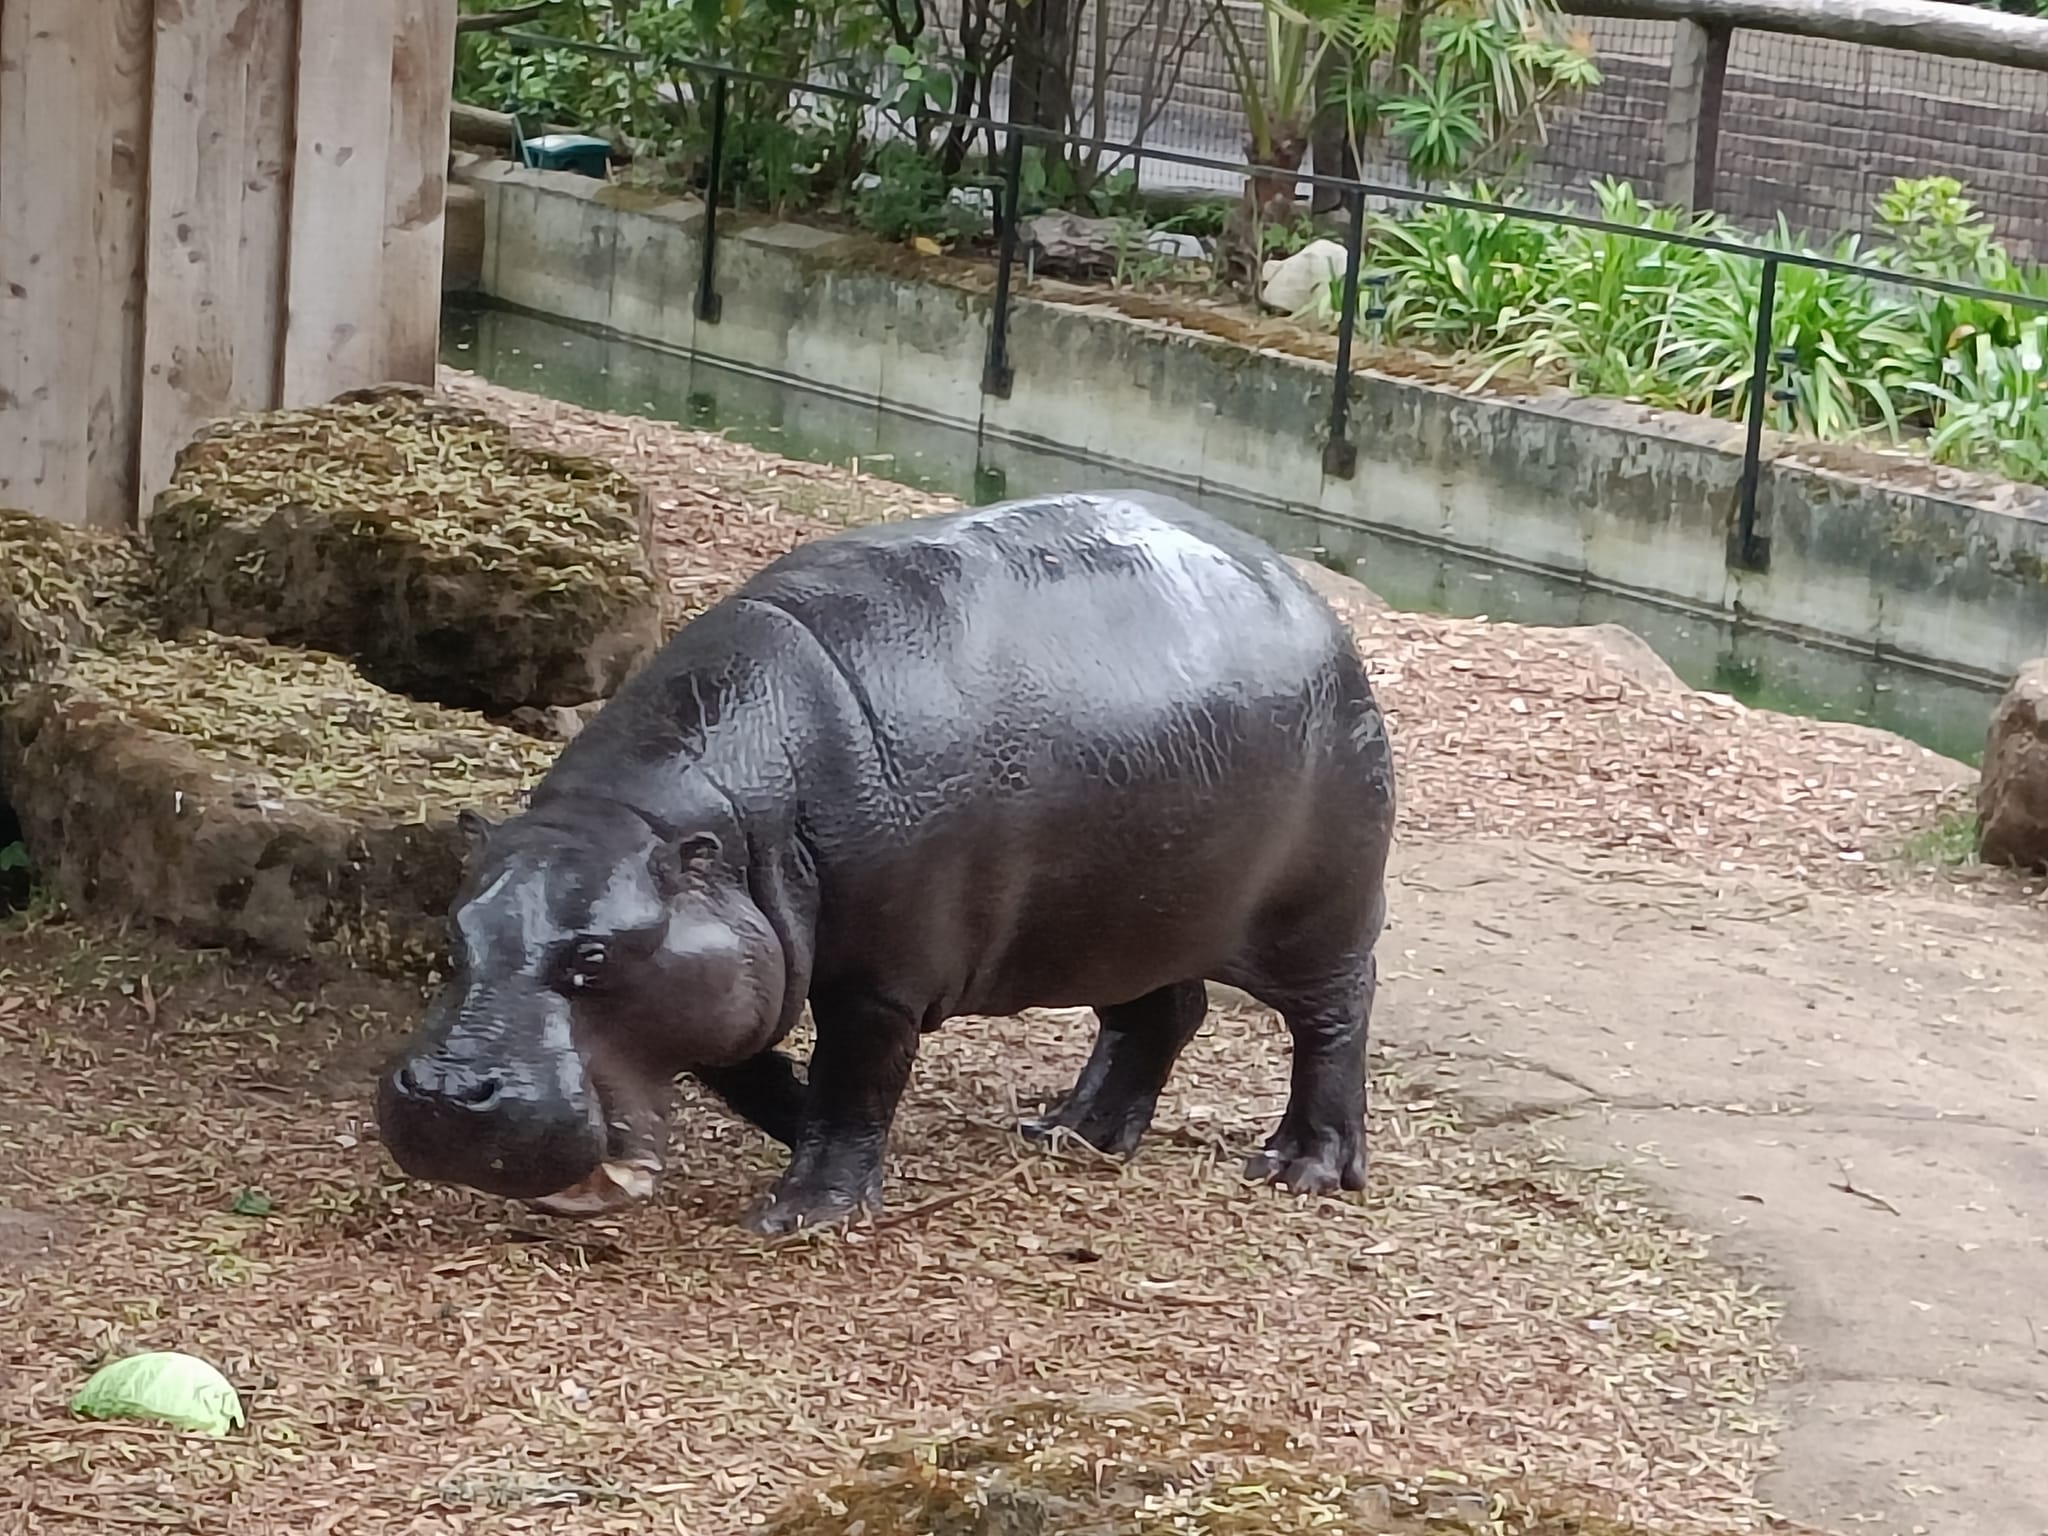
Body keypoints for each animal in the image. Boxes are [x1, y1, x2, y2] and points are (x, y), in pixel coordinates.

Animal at [372, 493, 1392, 1236]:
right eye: (455, 937)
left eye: (594, 959)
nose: (447, 1096)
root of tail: (1306, 594)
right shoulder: (753, 950)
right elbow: (743, 1068)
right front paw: (795, 1126)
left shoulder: (880, 981)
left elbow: (857, 1079)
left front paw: (802, 1214)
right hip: (1134, 915)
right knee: (1161, 1012)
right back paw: (1073, 1133)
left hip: (1317, 914)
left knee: (1334, 1019)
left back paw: (1299, 1169)